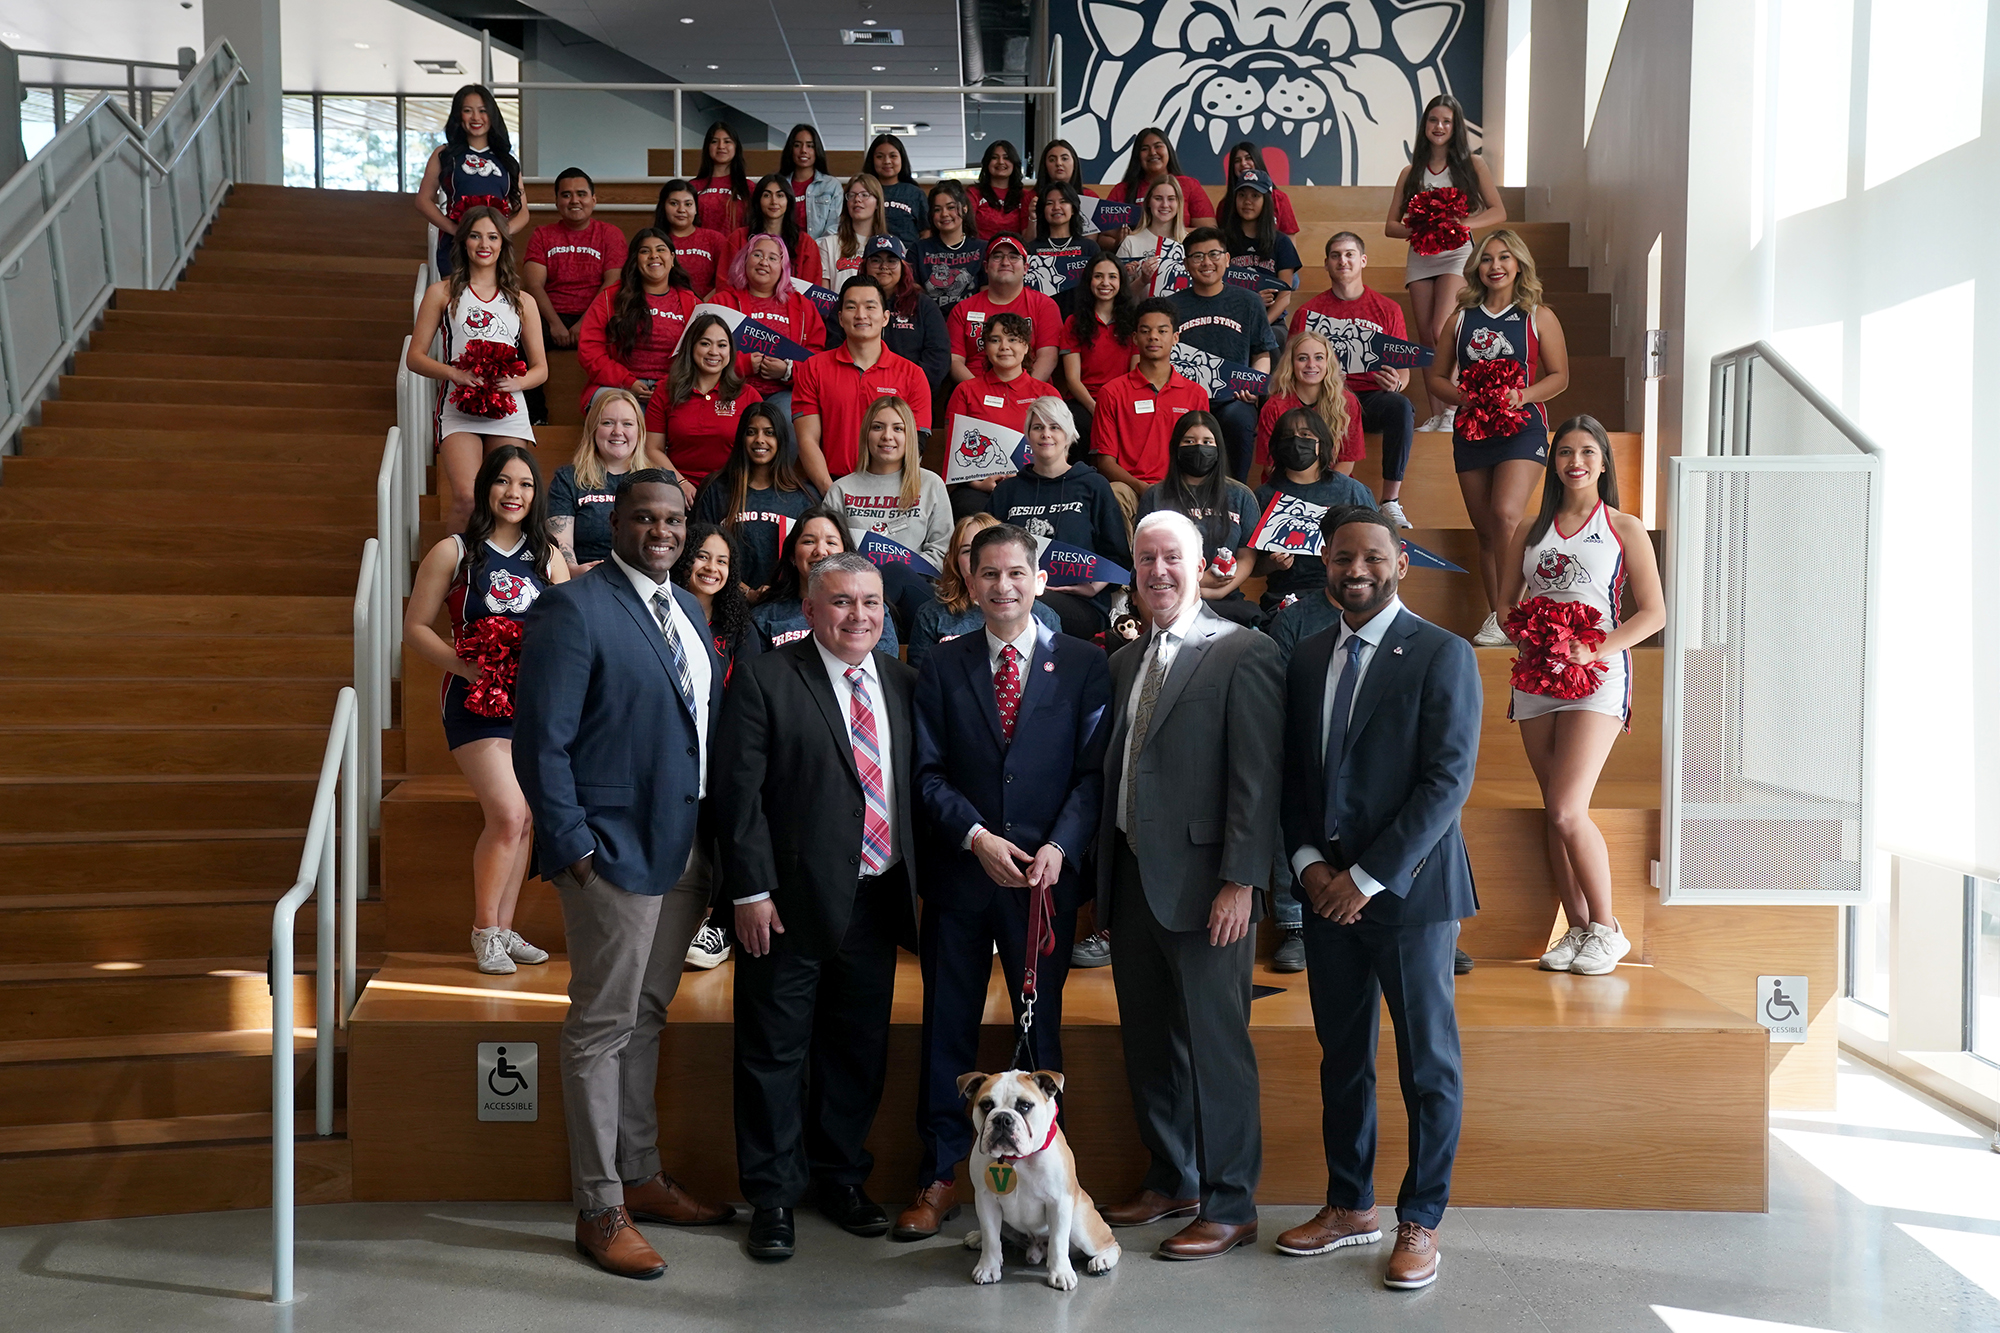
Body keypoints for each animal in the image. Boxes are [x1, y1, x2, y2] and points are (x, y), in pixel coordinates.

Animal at [958, 1070, 1120, 1289]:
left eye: (1025, 1106)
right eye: (986, 1105)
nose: (1002, 1119)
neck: (1015, 1160)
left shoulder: (1059, 1202)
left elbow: (1058, 1242)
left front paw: (1061, 1273)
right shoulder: (986, 1200)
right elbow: (991, 1237)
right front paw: (988, 1267)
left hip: (1080, 1225)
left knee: (1111, 1243)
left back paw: (1102, 1261)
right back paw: (978, 1237)